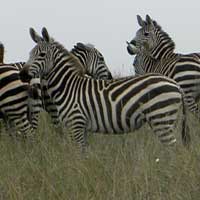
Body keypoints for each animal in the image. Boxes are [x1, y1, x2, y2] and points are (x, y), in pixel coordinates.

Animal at [19, 27, 191, 151]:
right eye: (30, 53)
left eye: (41, 54)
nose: (22, 74)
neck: (68, 86)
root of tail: (176, 85)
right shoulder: (82, 127)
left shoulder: (76, 123)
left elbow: (79, 155)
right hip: (167, 120)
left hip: (161, 118)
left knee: (173, 150)